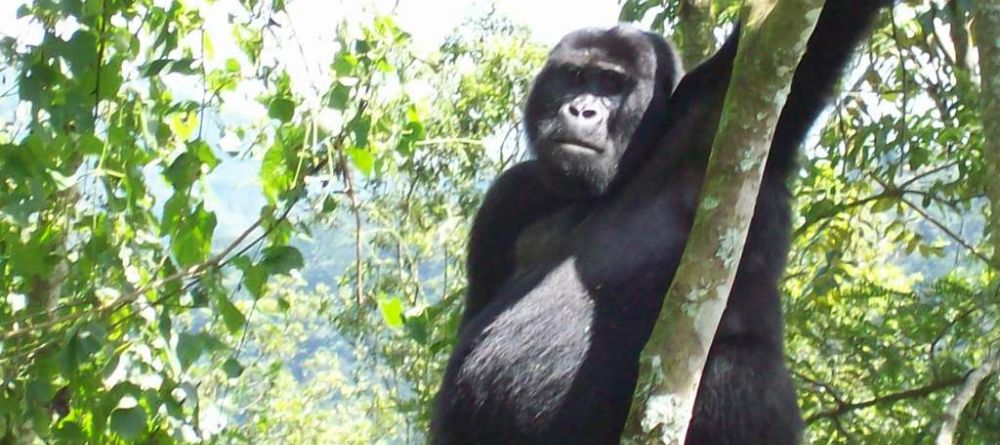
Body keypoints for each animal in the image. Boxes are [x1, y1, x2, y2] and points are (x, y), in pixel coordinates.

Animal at [434, 1, 896, 442]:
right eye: (575, 76)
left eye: (611, 85)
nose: (581, 110)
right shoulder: (508, 198)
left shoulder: (712, 114)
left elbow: (813, 35)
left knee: (735, 366)